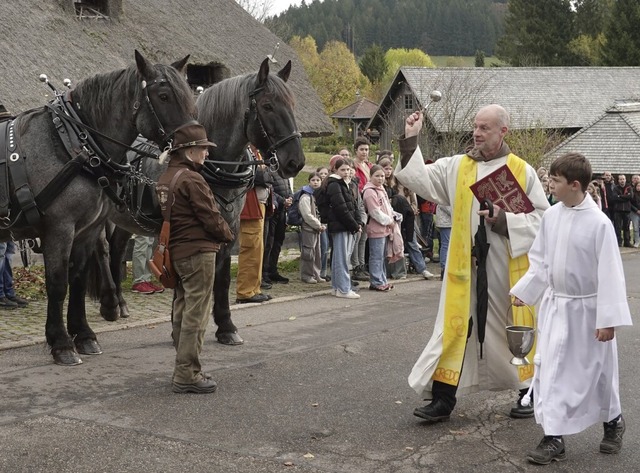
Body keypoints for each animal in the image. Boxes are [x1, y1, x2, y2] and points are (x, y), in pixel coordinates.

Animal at [0, 49, 196, 364]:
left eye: (188, 95)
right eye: (164, 95)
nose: (196, 145)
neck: (72, 143)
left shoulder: (87, 230)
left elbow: (78, 280)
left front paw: (84, 335)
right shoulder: (59, 228)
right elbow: (58, 284)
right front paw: (61, 343)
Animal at [92, 59, 304, 342]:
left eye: (291, 104)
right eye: (268, 105)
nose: (295, 161)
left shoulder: (228, 227)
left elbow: (221, 278)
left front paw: (226, 326)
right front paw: (178, 326)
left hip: (126, 217)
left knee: (116, 249)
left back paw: (122, 303)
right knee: (102, 249)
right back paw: (109, 305)